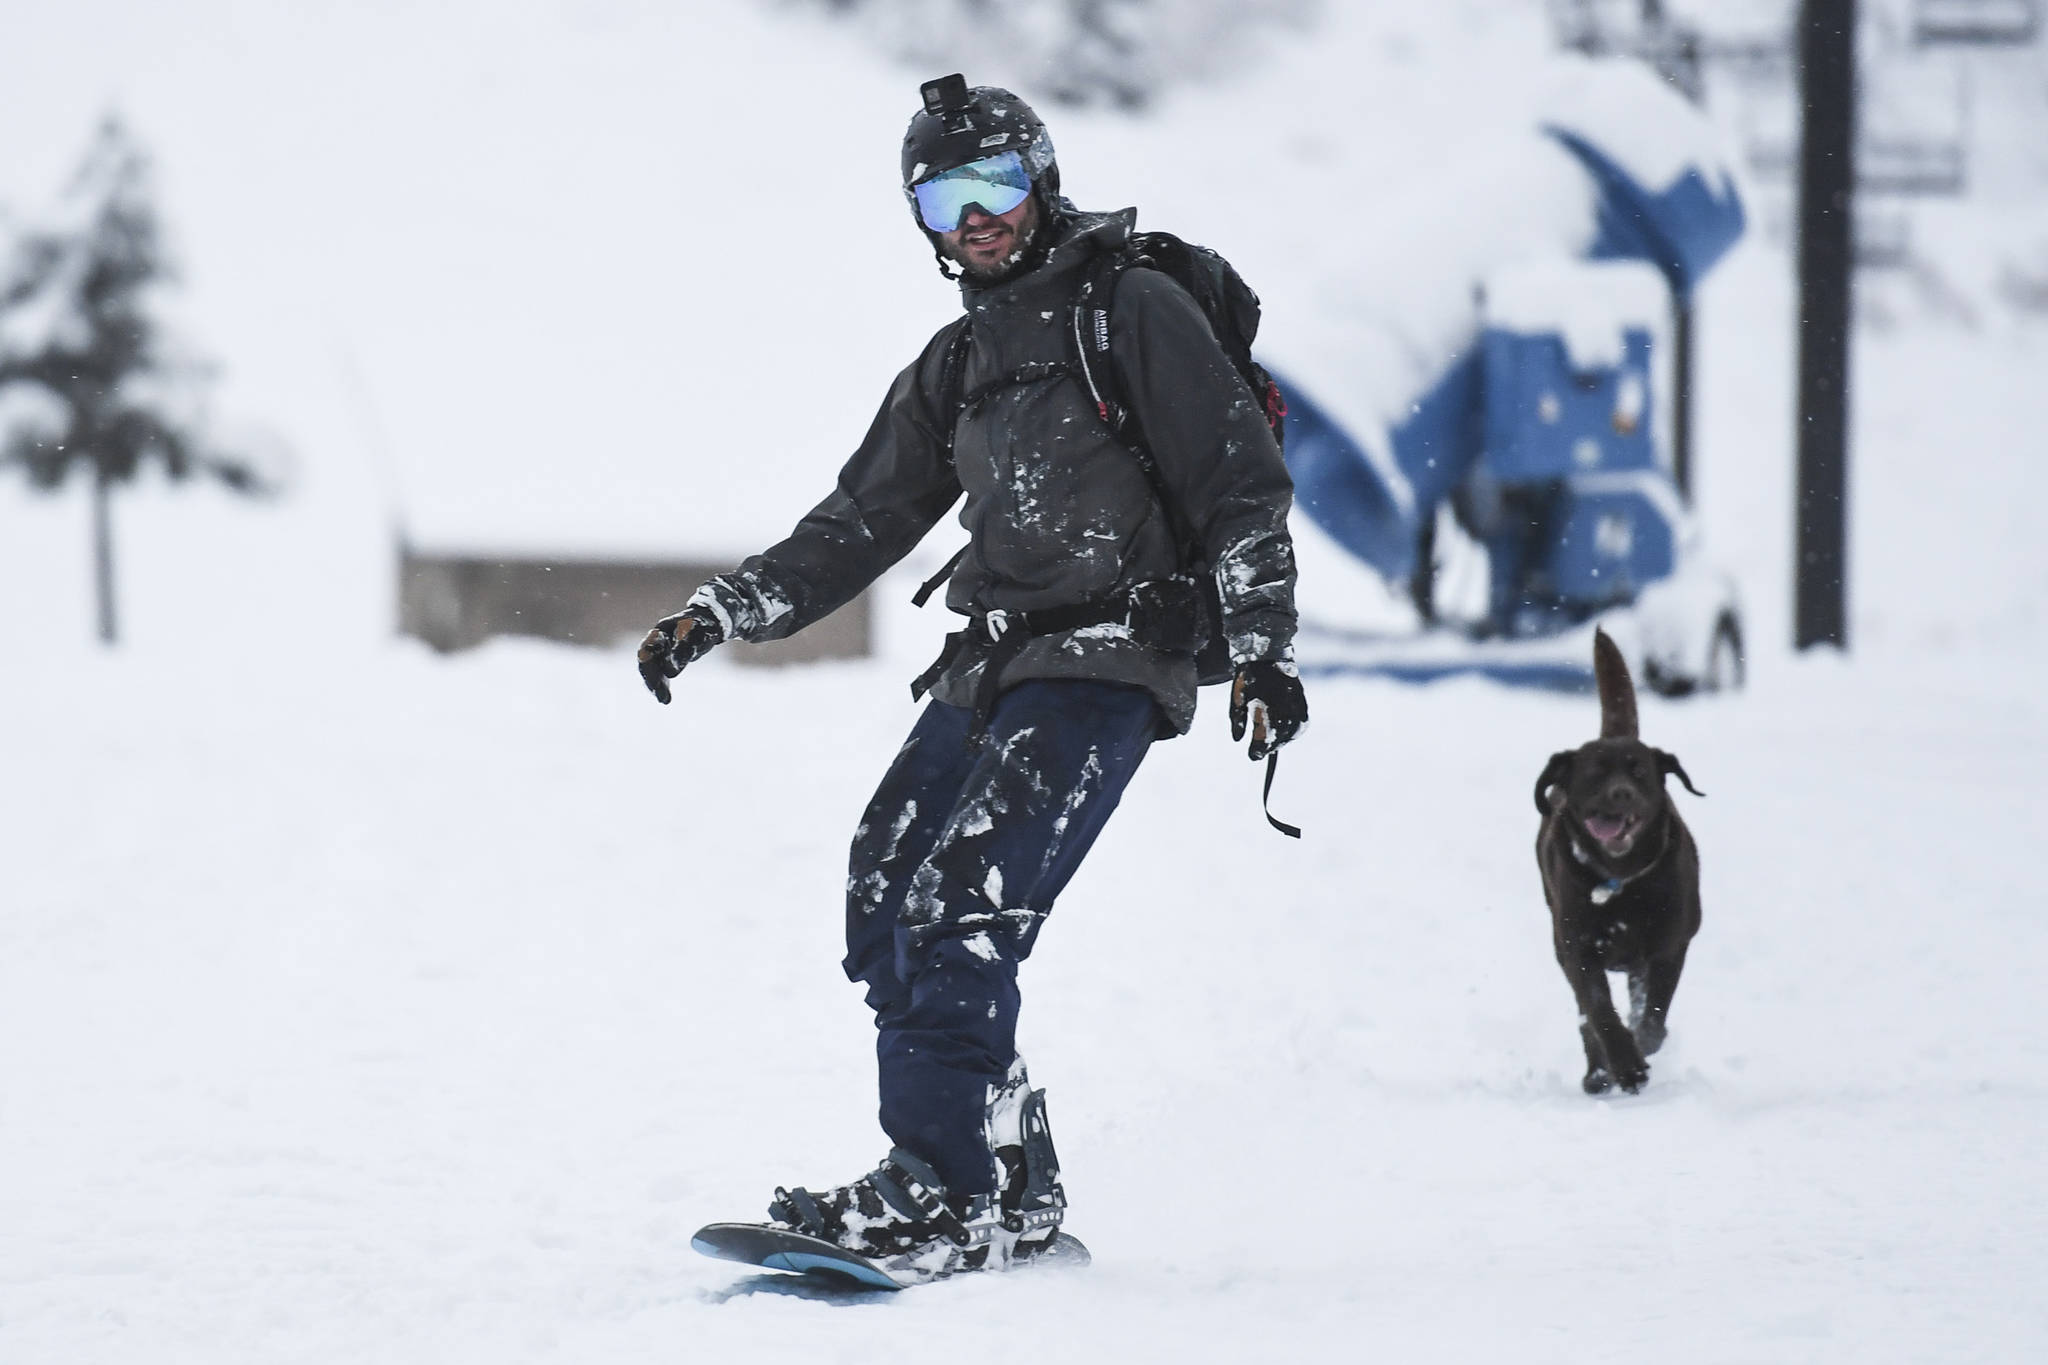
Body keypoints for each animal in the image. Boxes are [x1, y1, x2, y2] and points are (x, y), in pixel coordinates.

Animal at [1531, 634, 1703, 1096]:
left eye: (1639, 771)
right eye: (1594, 773)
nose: (1621, 793)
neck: (1621, 881)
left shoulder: (1668, 946)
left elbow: (1653, 1019)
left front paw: (1641, 1049)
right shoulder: (1578, 948)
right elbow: (1599, 1012)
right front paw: (1625, 1065)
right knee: (1586, 1018)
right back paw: (1598, 1074)